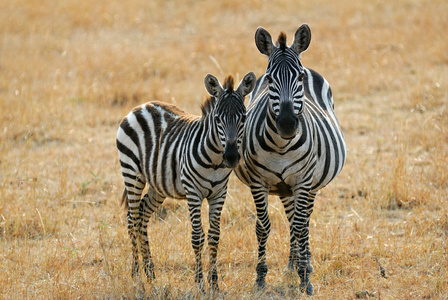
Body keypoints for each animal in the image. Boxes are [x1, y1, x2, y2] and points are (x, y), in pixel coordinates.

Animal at [115, 71, 256, 290]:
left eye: (243, 118)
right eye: (217, 119)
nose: (232, 157)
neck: (215, 160)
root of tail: (141, 106)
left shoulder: (219, 194)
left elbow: (214, 236)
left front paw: (214, 283)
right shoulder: (193, 193)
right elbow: (197, 237)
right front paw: (199, 283)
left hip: (158, 184)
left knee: (142, 215)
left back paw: (150, 272)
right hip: (132, 173)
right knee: (132, 218)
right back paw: (136, 273)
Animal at [234, 23, 346, 296]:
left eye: (300, 78)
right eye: (270, 79)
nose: (286, 124)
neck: (281, 146)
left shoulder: (303, 181)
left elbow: (301, 226)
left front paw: (306, 279)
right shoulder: (258, 182)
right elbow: (263, 227)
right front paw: (261, 278)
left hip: (310, 184)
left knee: (303, 221)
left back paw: (304, 264)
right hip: (285, 189)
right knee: (292, 217)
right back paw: (292, 265)